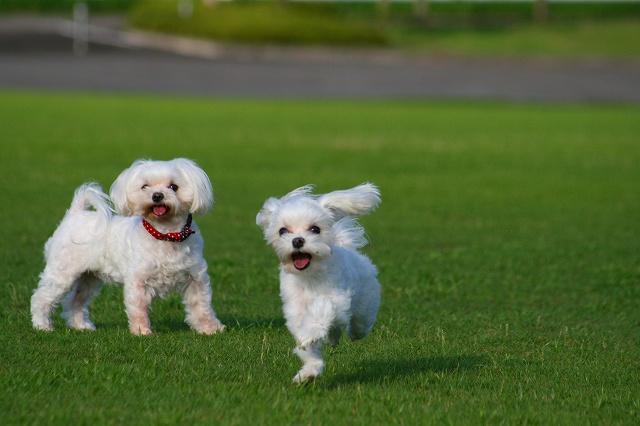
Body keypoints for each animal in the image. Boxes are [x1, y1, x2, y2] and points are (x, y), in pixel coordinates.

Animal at [30, 158, 225, 334]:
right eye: (145, 187)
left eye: (173, 187)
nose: (157, 195)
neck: (166, 235)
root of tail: (75, 214)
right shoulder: (137, 280)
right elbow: (138, 308)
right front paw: (141, 331)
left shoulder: (196, 277)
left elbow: (202, 306)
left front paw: (210, 329)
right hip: (63, 273)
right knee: (41, 298)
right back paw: (42, 326)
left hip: (89, 277)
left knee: (75, 300)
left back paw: (81, 326)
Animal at [258, 183, 382, 382]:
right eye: (282, 231)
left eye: (315, 229)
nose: (298, 240)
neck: (310, 276)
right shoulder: (296, 311)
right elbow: (307, 347)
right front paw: (309, 370)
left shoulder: (336, 297)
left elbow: (322, 309)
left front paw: (309, 335)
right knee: (336, 327)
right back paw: (332, 338)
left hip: (366, 304)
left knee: (359, 324)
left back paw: (354, 333)